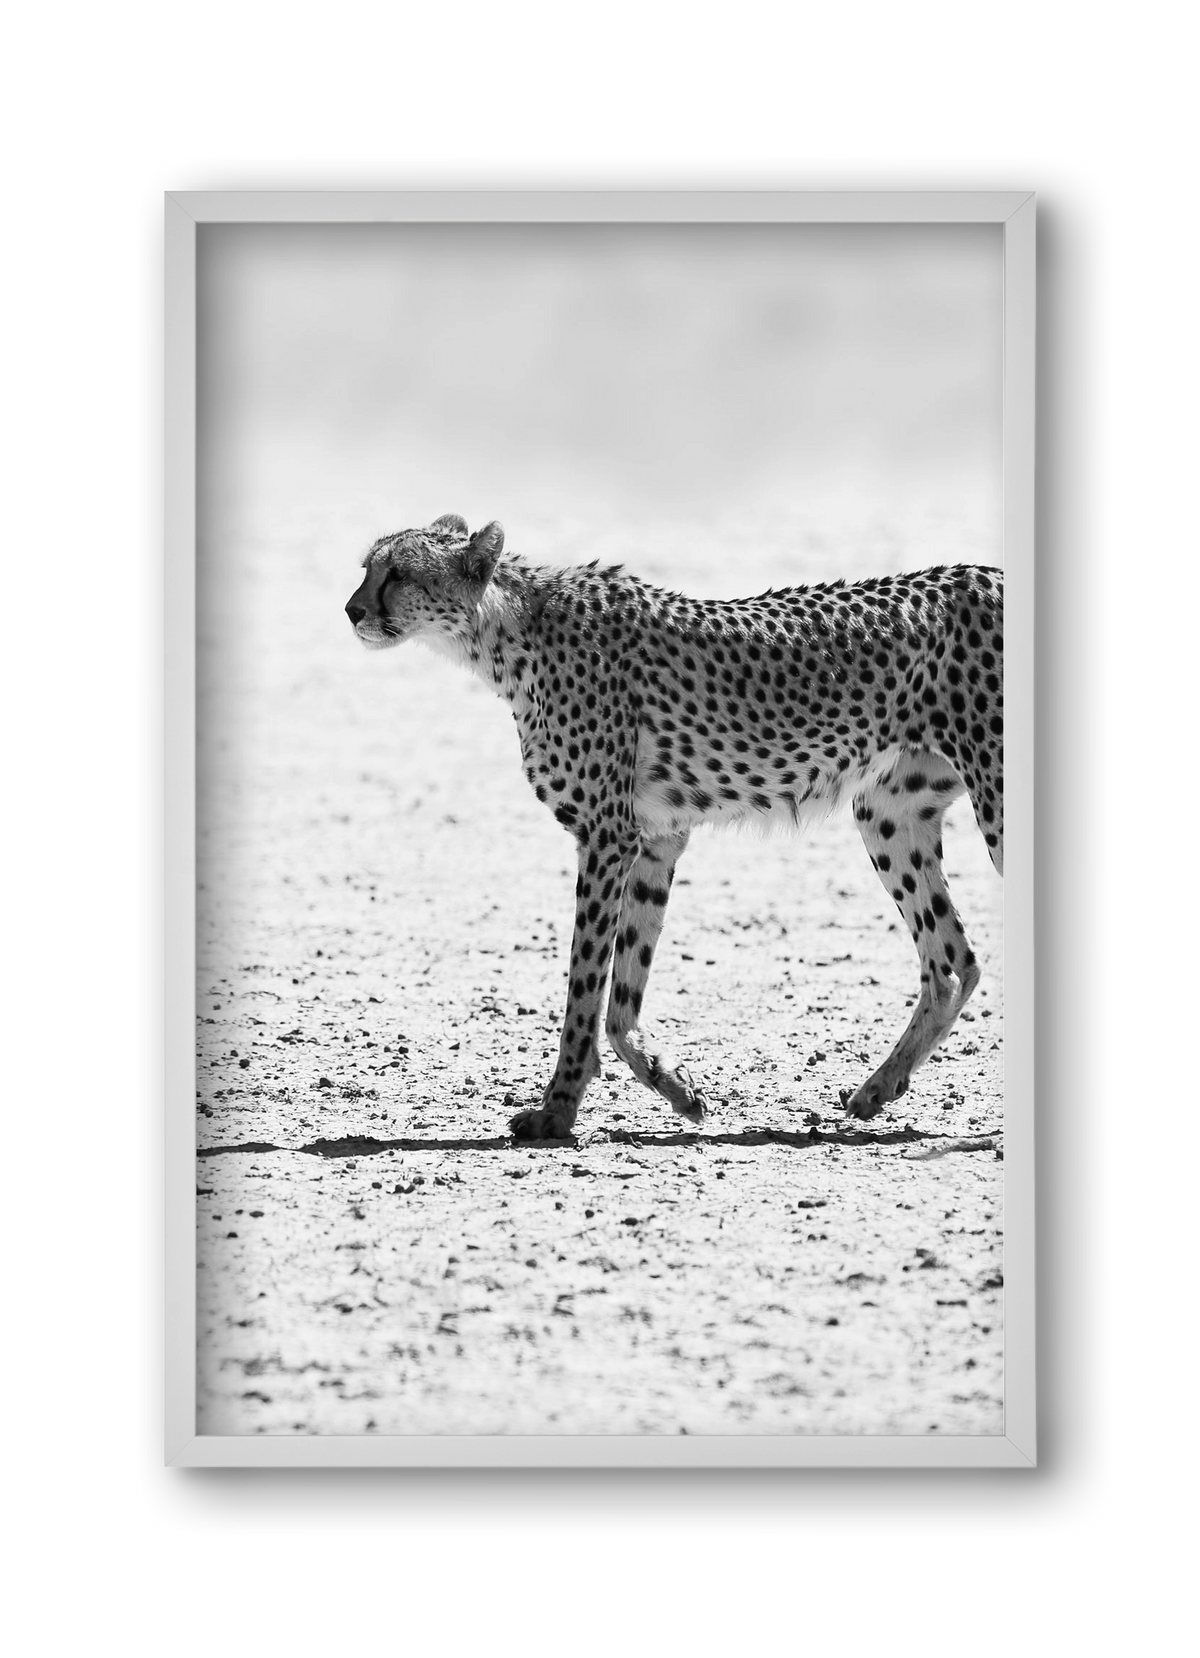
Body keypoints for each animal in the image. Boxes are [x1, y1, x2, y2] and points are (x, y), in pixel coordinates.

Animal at [345, 513, 1003, 1142]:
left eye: (398, 573)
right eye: (367, 567)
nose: (352, 610)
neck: (505, 631)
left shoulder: (607, 836)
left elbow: (585, 986)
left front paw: (557, 1111)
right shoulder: (656, 839)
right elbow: (621, 997)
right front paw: (677, 1087)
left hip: (992, 801)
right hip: (889, 814)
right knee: (952, 962)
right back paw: (877, 1089)